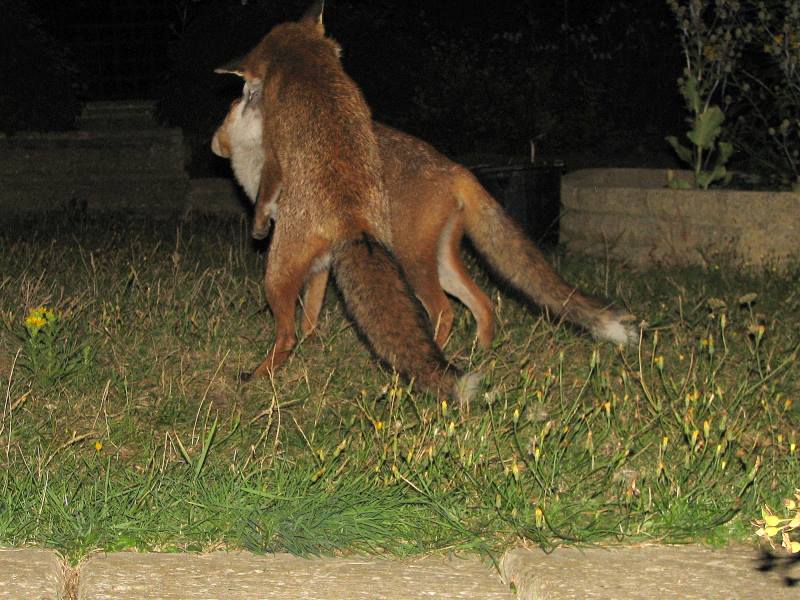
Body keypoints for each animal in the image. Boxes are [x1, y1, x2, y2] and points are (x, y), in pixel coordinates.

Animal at [211, 88, 636, 352]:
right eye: (237, 101)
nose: (250, 88)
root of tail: (456, 169)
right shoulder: (321, 257)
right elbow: (311, 312)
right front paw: (312, 347)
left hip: (413, 263)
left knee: (446, 312)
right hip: (439, 263)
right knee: (483, 303)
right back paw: (482, 353)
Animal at [214, 3, 476, 404]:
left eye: (245, 88)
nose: (243, 96)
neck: (304, 59)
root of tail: (353, 219)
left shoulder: (274, 148)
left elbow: (267, 185)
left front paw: (257, 224)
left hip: (275, 273)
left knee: (288, 334)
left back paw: (259, 374)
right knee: (308, 322)